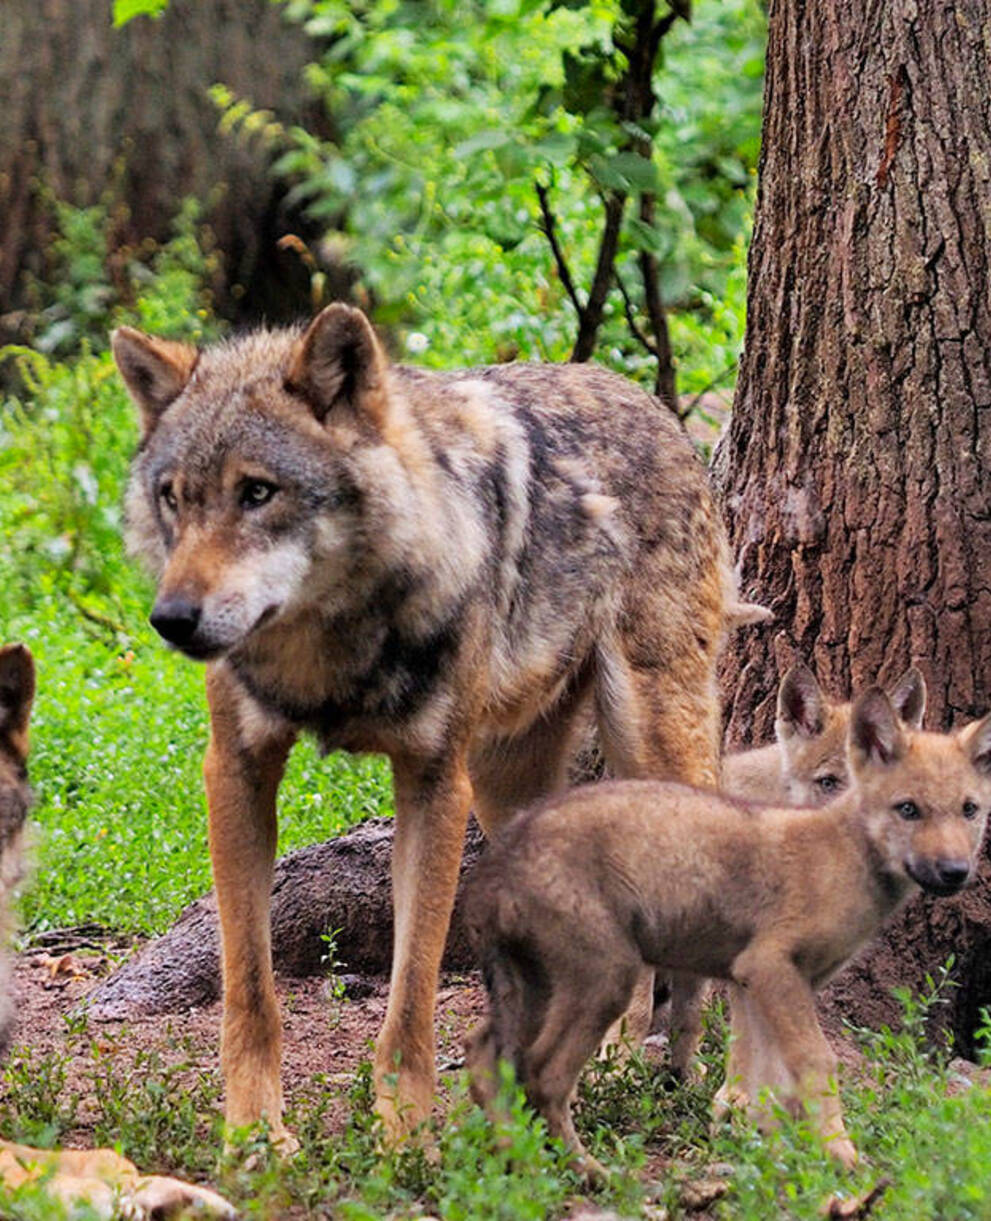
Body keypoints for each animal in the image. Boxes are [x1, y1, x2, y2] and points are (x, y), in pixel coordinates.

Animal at [110, 302, 756, 1142]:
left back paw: (733, 1090)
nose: (172, 619)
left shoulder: (433, 780)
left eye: (257, 492)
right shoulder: (237, 770)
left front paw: (404, 1135)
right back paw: (594, 1068)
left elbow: (411, 990)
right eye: (173, 497)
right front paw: (255, 1135)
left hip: (648, 740)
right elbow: (250, 990)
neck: (328, 645)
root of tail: (648, 401)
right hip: (510, 785)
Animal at [463, 688, 991, 1172]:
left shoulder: (759, 982)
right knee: (543, 1075)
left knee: (485, 1055)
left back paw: (518, 1161)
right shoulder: (769, 967)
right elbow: (816, 1062)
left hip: (534, 987)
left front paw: (764, 1151)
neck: (845, 855)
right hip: (606, 979)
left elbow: (765, 1080)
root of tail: (501, 856)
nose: (955, 872)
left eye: (970, 810)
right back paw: (585, 1171)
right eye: (908, 809)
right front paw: (841, 1156)